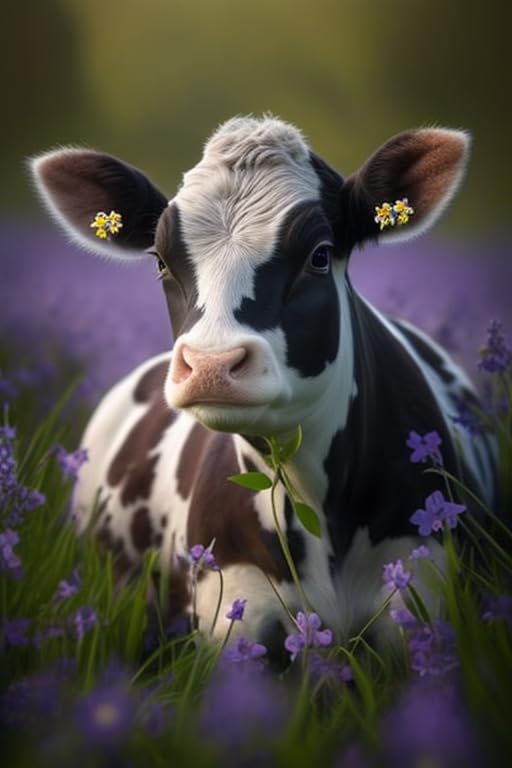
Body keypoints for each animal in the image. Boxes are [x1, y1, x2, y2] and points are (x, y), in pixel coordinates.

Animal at [31, 116, 494, 652]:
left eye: (319, 256)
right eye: (161, 262)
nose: (210, 363)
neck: (316, 500)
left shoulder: (422, 596)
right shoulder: (238, 614)